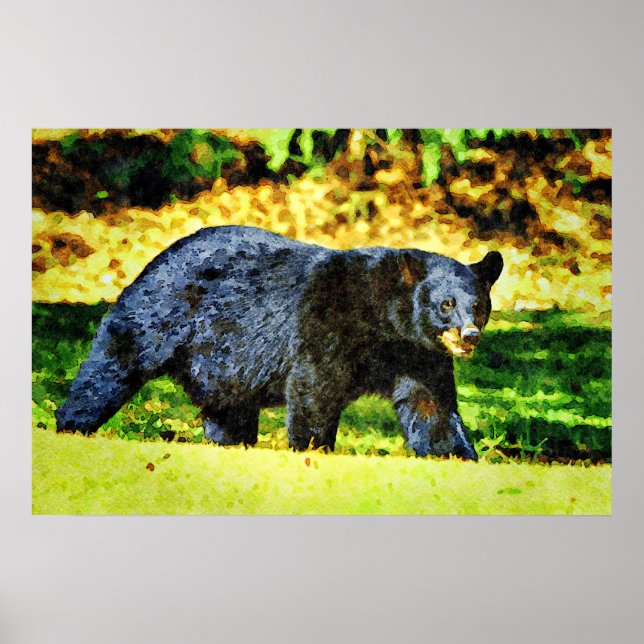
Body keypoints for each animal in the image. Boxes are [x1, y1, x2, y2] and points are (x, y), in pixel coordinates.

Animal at [55, 225, 503, 460]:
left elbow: (431, 405)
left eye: (479, 305)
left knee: (228, 408)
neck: (385, 321)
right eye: (445, 304)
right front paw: (313, 450)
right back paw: (71, 425)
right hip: (161, 312)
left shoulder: (418, 353)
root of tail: (157, 256)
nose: (469, 335)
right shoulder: (327, 321)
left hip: (223, 363)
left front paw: (457, 455)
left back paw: (231, 444)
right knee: (114, 362)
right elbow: (315, 387)